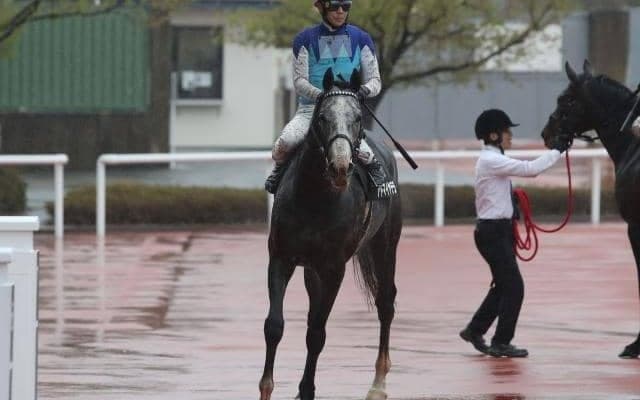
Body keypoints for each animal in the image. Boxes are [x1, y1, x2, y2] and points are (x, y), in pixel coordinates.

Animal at [258, 68, 402, 400]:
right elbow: (274, 326)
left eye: (358, 117)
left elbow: (317, 334)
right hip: (312, 269)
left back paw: (379, 382)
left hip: (385, 244)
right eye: (323, 117)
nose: (340, 165)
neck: (315, 198)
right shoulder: (281, 257)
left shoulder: (333, 268)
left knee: (385, 302)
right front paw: (268, 389)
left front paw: (307, 389)